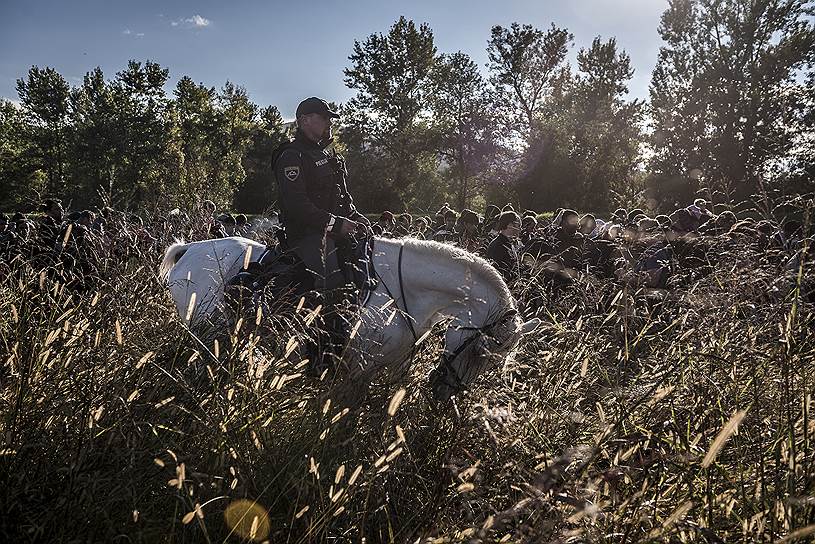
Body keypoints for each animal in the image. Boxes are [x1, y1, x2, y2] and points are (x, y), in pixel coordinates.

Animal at [159, 236, 540, 402]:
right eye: (480, 352)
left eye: (493, 364)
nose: (445, 395)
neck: (402, 291)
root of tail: (191, 249)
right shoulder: (358, 371)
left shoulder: (395, 369)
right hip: (204, 331)